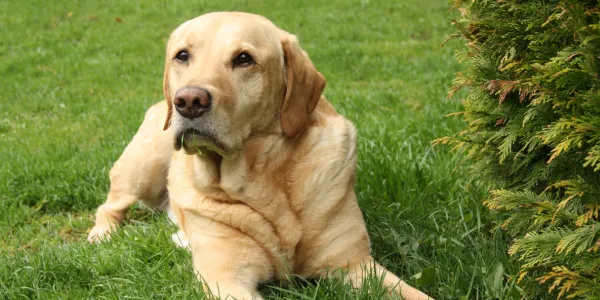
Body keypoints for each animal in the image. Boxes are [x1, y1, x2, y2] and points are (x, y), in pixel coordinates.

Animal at [88, 11, 432, 300]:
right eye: (182, 55)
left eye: (244, 59)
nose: (188, 101)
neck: (261, 179)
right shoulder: (226, 278)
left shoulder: (356, 265)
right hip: (142, 168)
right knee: (109, 206)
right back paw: (101, 236)